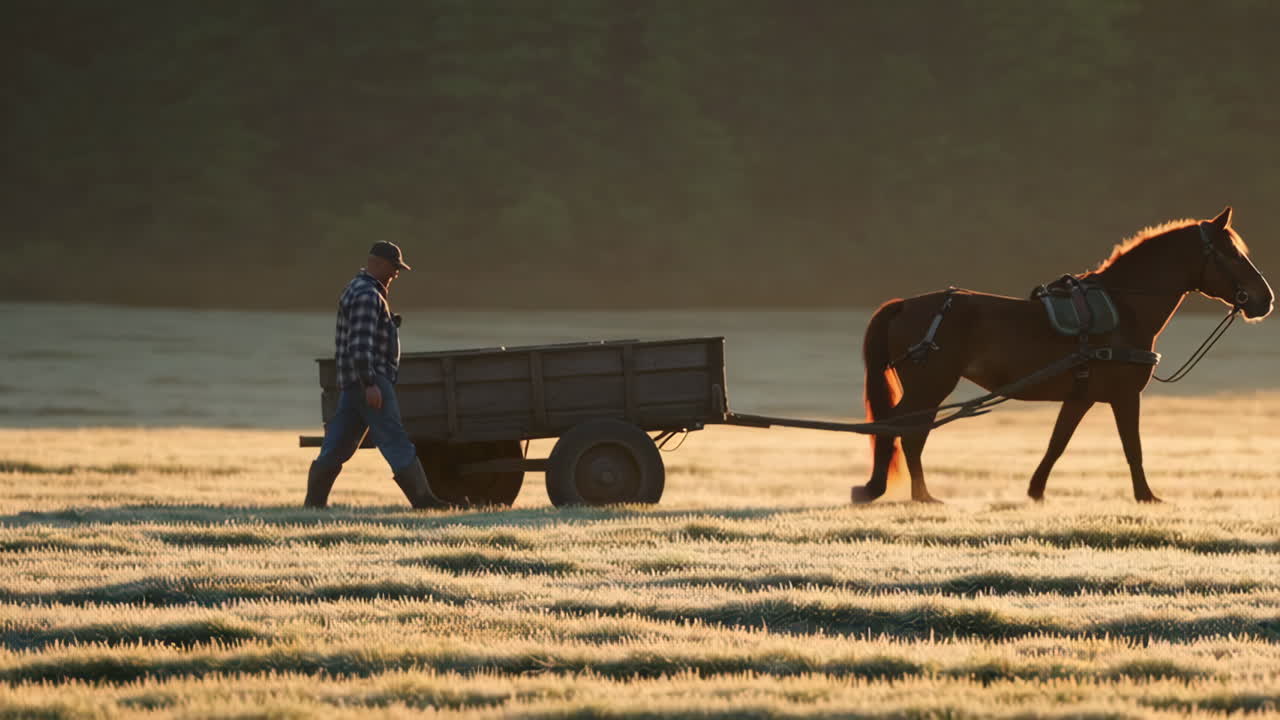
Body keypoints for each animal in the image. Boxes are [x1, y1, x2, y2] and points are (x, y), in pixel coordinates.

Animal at [855, 207, 1273, 504]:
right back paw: (918, 495)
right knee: (904, 430)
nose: (1265, 300)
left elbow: (1057, 444)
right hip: (930, 385)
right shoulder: (1125, 396)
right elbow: (1133, 447)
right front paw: (1146, 497)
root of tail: (904, 304)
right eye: (1232, 255)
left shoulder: (1079, 398)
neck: (1124, 308)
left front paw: (1036, 491)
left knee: (905, 430)